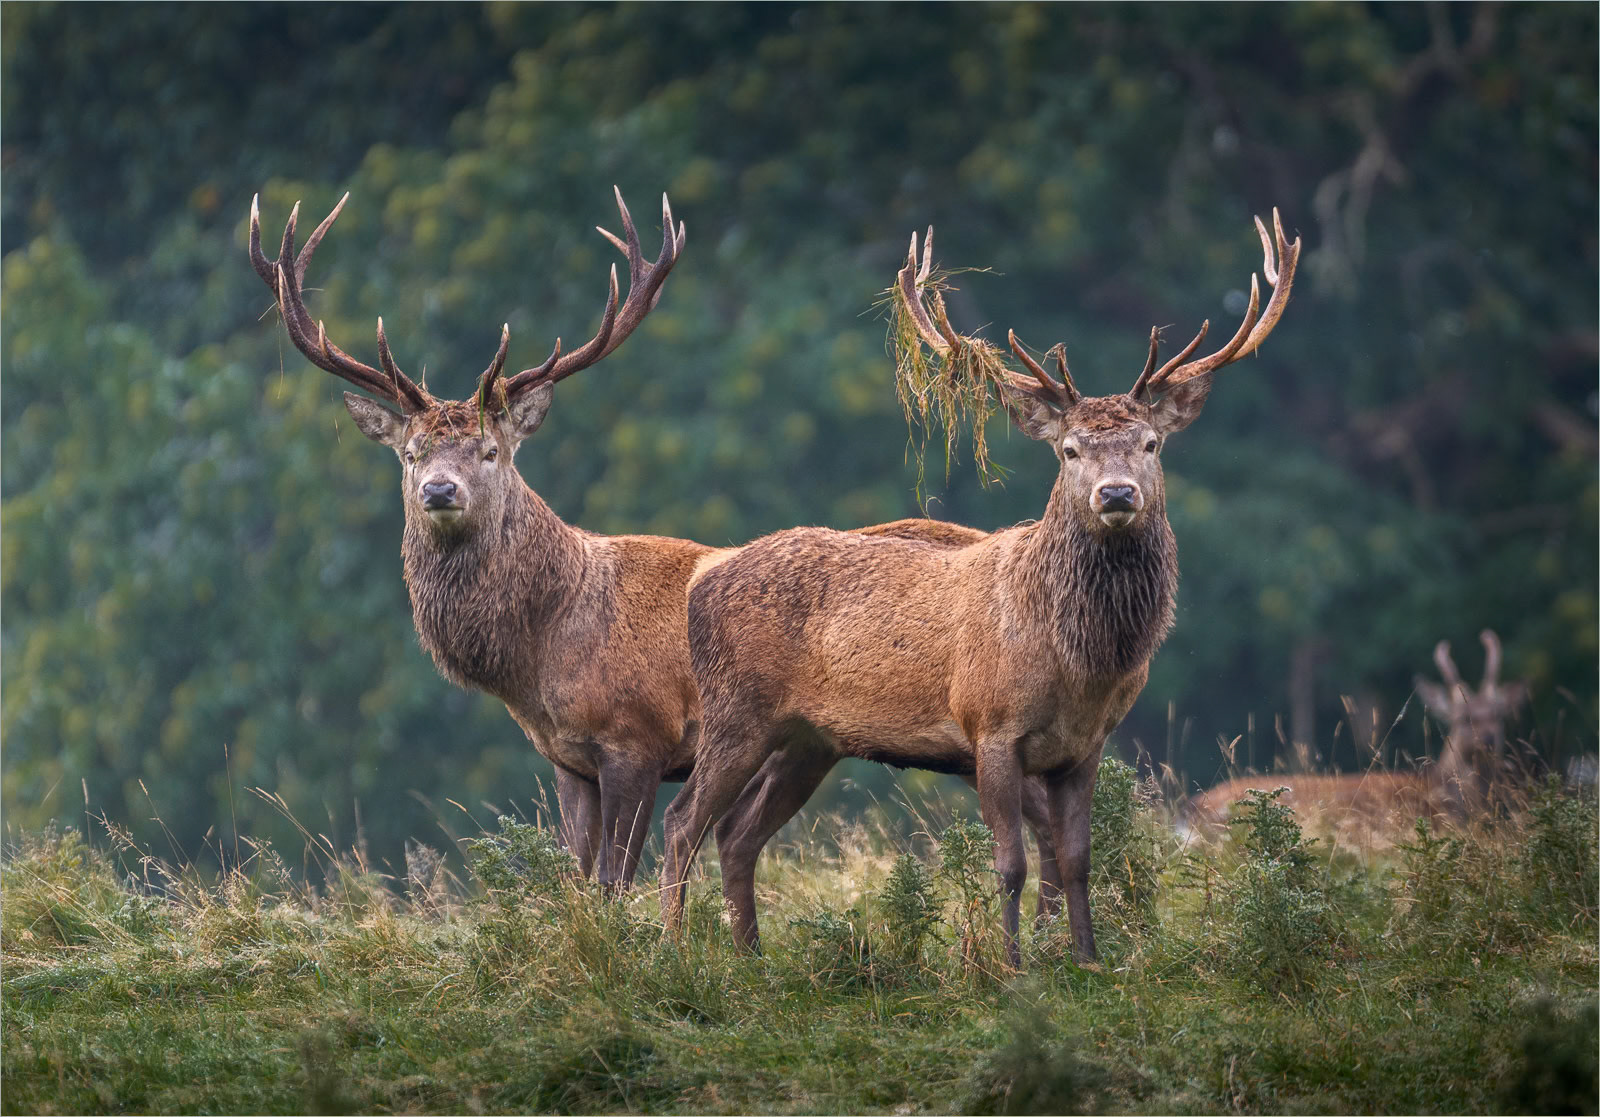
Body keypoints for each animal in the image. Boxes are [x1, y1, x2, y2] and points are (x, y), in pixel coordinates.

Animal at [248, 188, 1067, 898]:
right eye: (411, 453)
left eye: (491, 450)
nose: (440, 491)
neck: (545, 648)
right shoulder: (568, 759)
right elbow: (578, 880)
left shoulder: (637, 736)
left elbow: (614, 880)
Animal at [663, 212, 1300, 966]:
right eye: (1070, 451)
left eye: (1151, 444)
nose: (1117, 494)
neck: (1079, 659)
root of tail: (703, 581)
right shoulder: (991, 727)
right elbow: (1012, 862)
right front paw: (1012, 964)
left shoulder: (1087, 745)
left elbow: (1077, 857)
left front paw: (1088, 958)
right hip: (737, 708)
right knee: (681, 821)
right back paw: (668, 948)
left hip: (808, 738)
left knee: (737, 833)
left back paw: (752, 956)